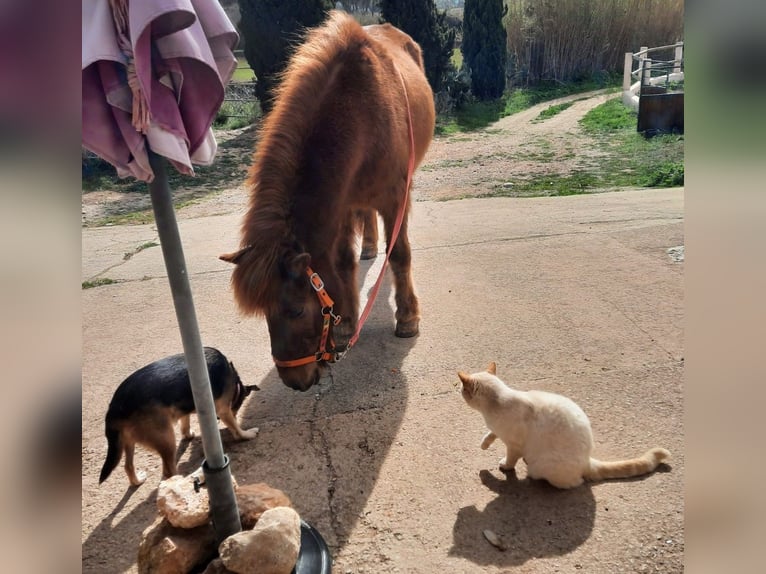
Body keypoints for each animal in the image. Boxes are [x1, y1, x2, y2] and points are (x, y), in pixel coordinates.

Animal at [220, 11, 435, 391]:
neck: (360, 112)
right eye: (264, 314)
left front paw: (408, 318)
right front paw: (348, 320)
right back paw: (369, 247)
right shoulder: (344, 204)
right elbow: (342, 261)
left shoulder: (396, 198)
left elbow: (399, 254)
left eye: (296, 310)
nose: (295, 381)